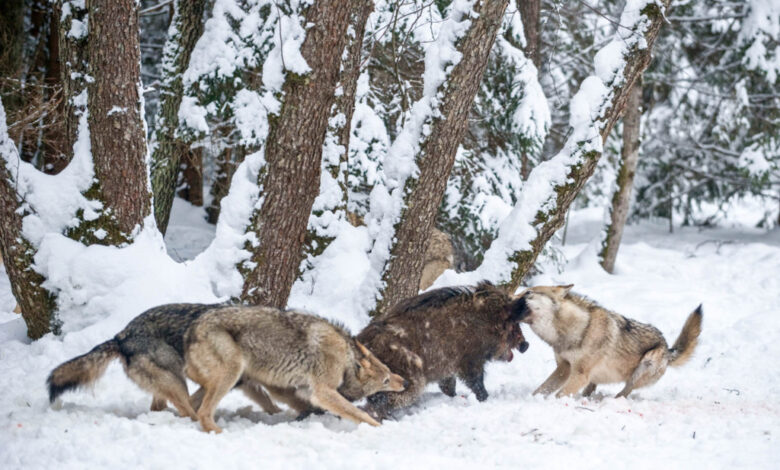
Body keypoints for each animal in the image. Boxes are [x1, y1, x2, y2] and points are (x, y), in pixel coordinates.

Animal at [354, 280, 528, 420]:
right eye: (513, 323)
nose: (526, 345)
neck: (485, 322)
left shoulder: (447, 368)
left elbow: (449, 387)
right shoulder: (469, 361)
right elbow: (476, 382)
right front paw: (485, 399)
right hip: (408, 381)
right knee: (379, 402)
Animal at [516, 284, 704, 398]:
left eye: (528, 292)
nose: (511, 297)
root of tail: (668, 348)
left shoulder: (580, 374)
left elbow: (559, 395)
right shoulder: (564, 369)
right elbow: (540, 390)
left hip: (646, 364)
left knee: (625, 393)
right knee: (592, 388)